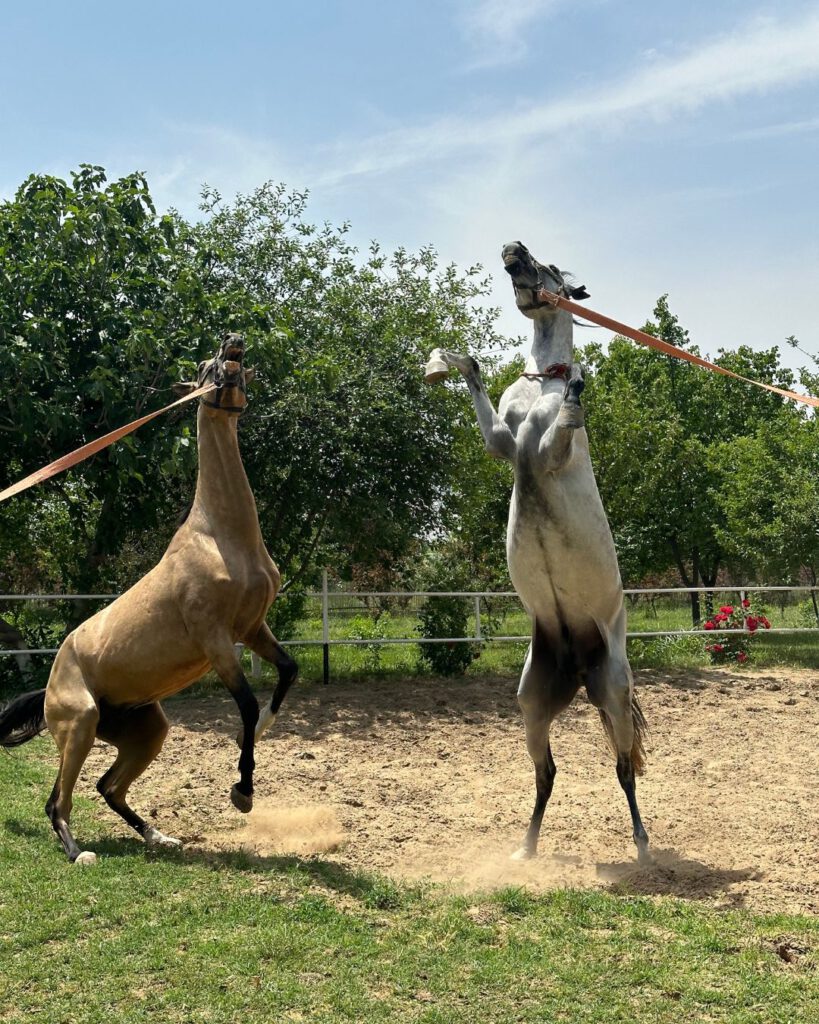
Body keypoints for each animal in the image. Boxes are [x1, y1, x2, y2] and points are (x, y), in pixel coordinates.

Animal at [0, 335, 296, 864]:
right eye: (203, 364)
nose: (233, 342)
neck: (220, 536)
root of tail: (50, 679)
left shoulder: (252, 628)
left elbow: (287, 672)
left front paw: (258, 738)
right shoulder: (216, 639)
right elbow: (245, 703)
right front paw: (242, 792)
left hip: (145, 731)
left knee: (108, 787)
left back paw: (159, 837)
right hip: (80, 725)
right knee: (58, 799)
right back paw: (78, 853)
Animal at [425, 243, 651, 860]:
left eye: (549, 269)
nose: (513, 250)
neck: (540, 385)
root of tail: (577, 665)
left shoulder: (548, 454)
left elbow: (566, 422)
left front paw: (578, 388)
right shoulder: (504, 445)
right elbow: (478, 388)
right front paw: (449, 361)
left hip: (615, 692)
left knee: (624, 767)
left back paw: (643, 846)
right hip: (533, 703)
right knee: (547, 773)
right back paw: (525, 848)